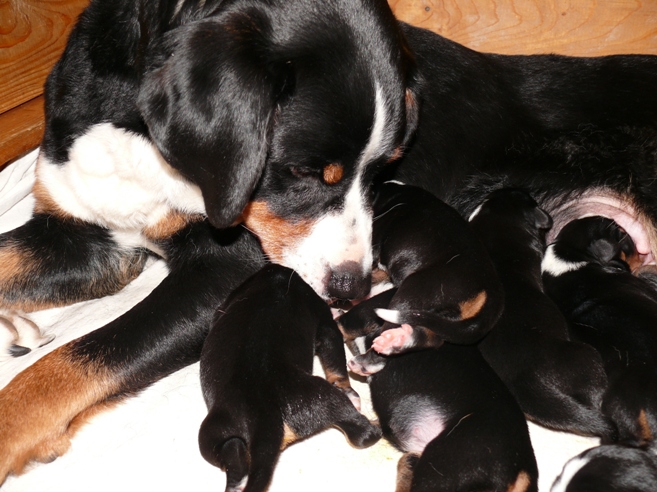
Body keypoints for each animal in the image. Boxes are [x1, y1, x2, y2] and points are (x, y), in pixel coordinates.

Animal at [198, 264, 379, 492]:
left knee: (233, 456)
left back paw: (237, 483)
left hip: (213, 433)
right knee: (362, 434)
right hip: (322, 397)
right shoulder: (324, 323)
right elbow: (336, 362)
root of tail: (264, 420)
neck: (274, 279)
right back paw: (374, 424)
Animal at [346, 181, 503, 375]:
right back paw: (400, 340)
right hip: (439, 317)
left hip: (414, 290)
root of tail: (490, 296)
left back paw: (368, 359)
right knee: (431, 338)